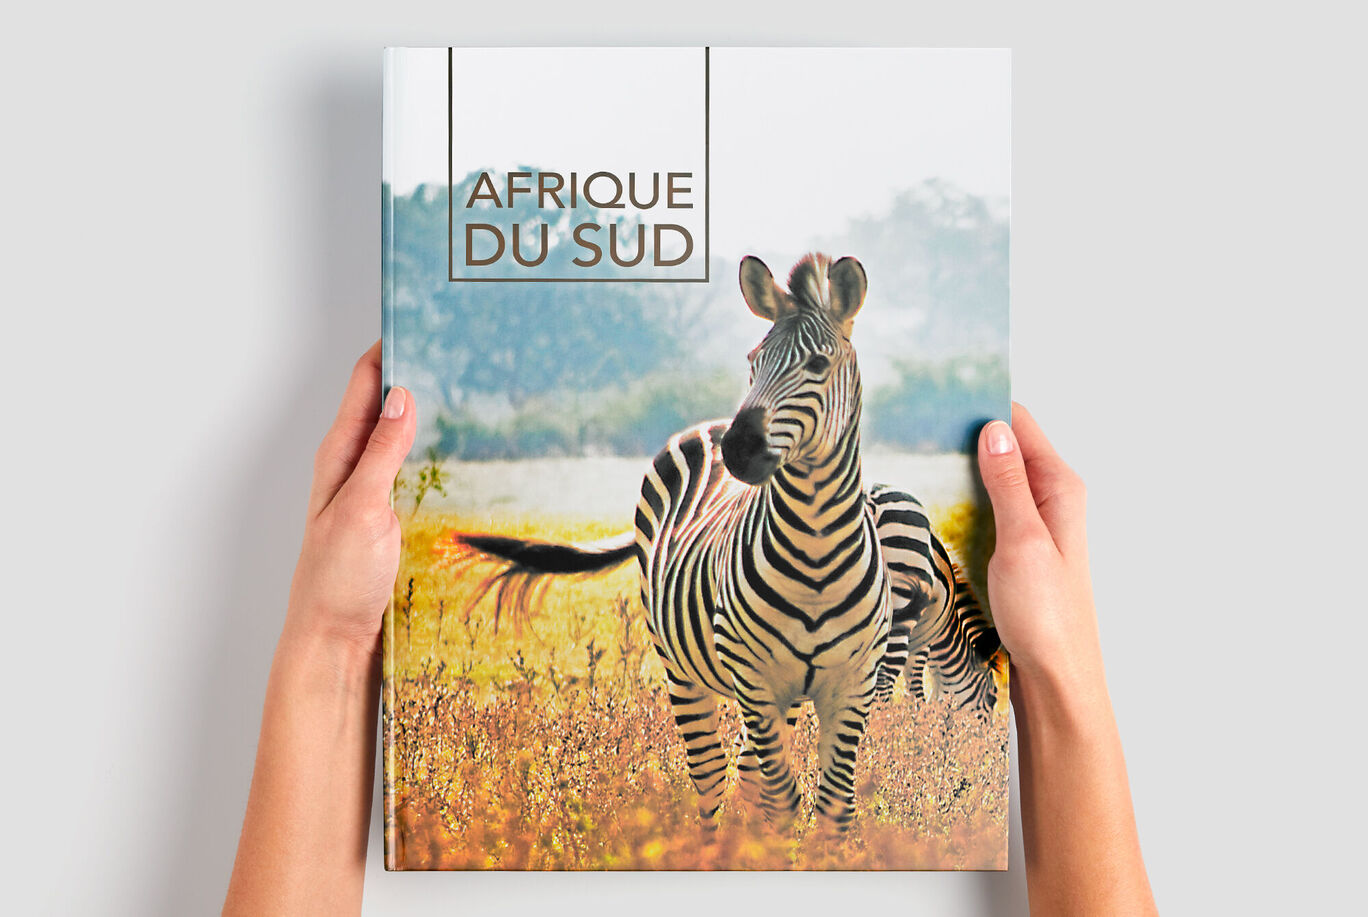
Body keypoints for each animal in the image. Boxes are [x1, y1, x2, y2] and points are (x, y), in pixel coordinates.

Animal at [443, 253, 1002, 829]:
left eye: (818, 366)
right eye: (753, 362)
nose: (739, 449)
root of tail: (707, 426)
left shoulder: (848, 682)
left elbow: (835, 802)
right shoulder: (770, 678)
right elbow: (790, 790)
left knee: (746, 769)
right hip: (685, 668)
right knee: (711, 773)